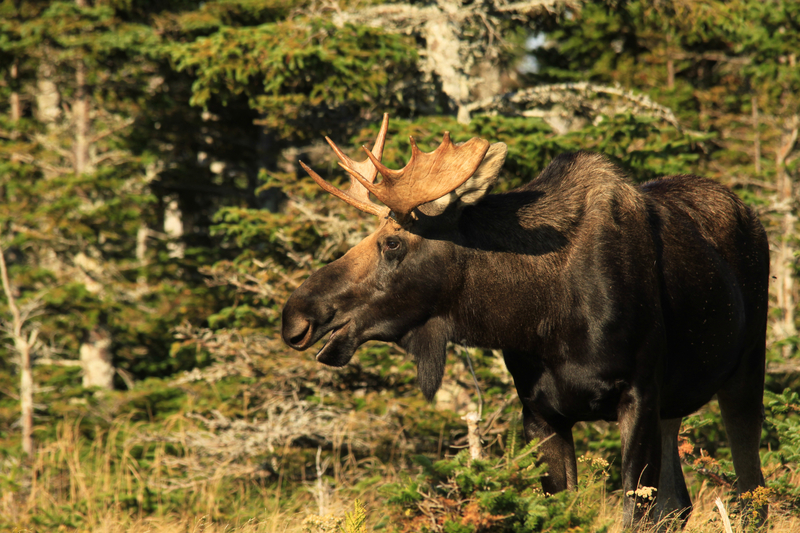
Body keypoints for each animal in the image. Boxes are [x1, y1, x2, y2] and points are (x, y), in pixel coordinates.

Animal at [282, 114, 768, 524]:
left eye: (393, 243)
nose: (295, 316)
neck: (540, 317)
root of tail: (753, 216)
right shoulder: (539, 413)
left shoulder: (639, 394)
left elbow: (635, 515)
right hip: (674, 405)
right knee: (678, 503)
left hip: (745, 372)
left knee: (751, 493)